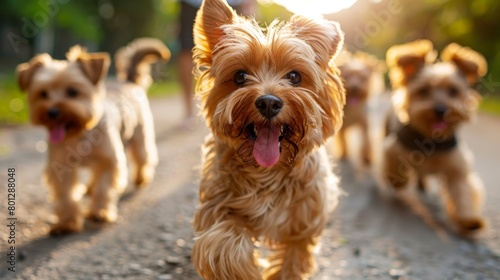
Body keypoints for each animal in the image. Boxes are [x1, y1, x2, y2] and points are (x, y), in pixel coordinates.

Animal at [17, 37, 170, 234]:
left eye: (72, 91)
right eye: (43, 93)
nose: (52, 112)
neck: (79, 133)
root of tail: (127, 82)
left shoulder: (109, 160)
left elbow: (104, 188)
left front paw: (99, 212)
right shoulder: (60, 167)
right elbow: (66, 195)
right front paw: (67, 221)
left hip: (140, 137)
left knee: (143, 157)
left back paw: (141, 178)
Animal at [189, 0, 346, 278]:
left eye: (294, 76)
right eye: (240, 76)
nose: (269, 102)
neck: (267, 172)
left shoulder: (303, 225)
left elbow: (291, 260)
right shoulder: (217, 208)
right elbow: (224, 246)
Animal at [380, 39, 486, 235]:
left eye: (453, 90)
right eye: (423, 91)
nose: (441, 110)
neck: (431, 138)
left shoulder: (457, 168)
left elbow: (463, 192)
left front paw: (467, 219)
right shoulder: (393, 149)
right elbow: (395, 167)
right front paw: (398, 182)